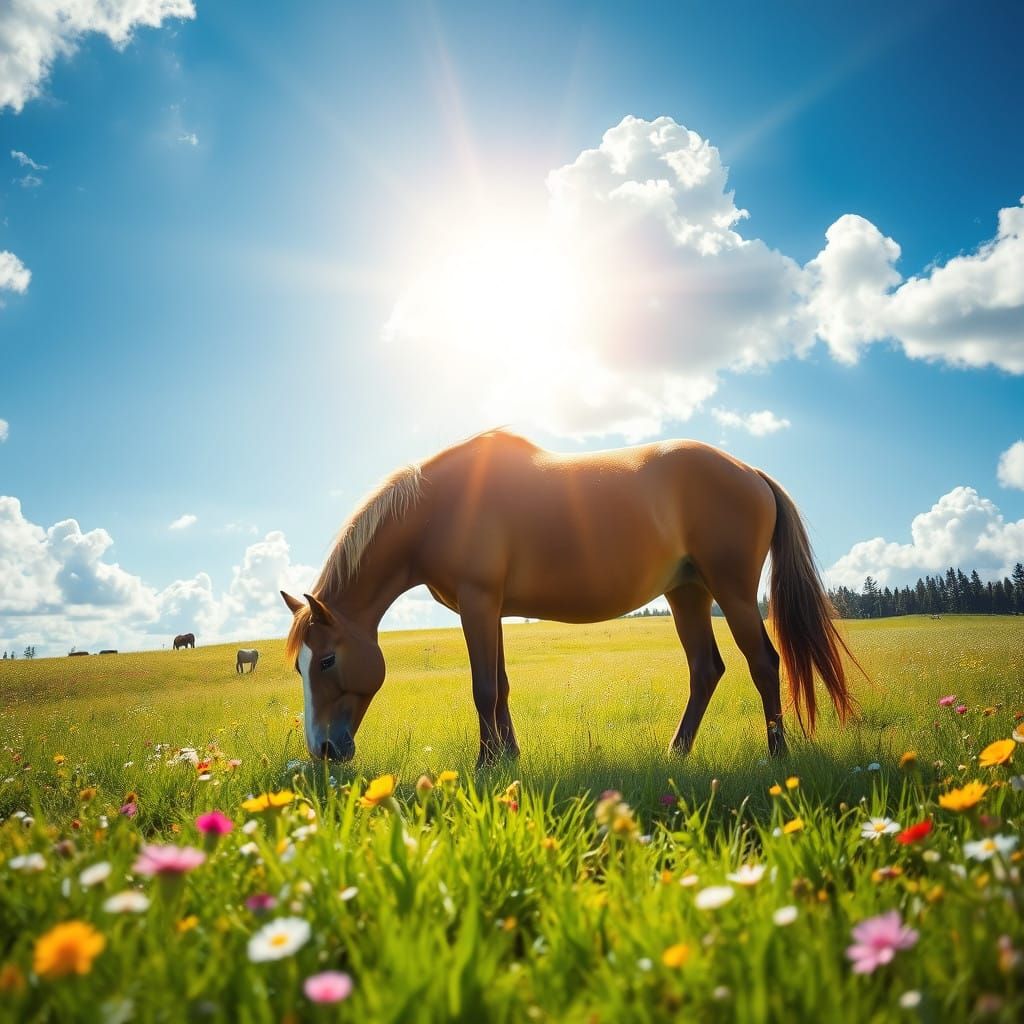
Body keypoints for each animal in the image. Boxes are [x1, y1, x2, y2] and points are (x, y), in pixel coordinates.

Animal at [282, 429, 860, 767]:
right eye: (299, 666)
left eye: (327, 659)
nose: (323, 750)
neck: (439, 505)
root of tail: (751, 473)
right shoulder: (490, 610)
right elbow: (502, 686)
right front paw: (509, 759)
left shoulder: (478, 602)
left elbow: (483, 688)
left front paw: (484, 766)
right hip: (688, 593)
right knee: (706, 669)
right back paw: (676, 753)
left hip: (732, 591)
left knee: (763, 662)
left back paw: (776, 756)